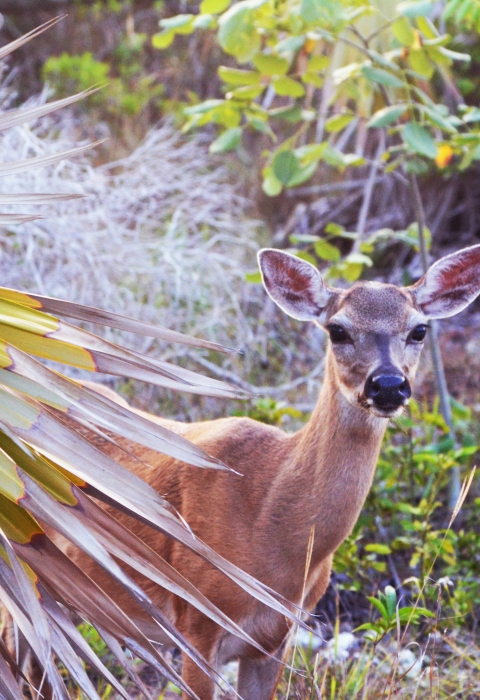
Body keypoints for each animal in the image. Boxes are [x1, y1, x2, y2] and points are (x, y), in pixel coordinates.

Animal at [3, 244, 480, 700]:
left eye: (419, 330)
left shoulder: (275, 639)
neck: (271, 526)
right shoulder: (197, 622)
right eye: (337, 329)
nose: (388, 385)